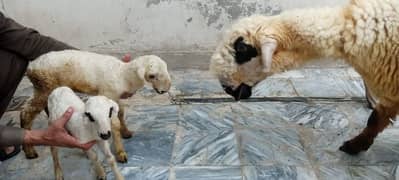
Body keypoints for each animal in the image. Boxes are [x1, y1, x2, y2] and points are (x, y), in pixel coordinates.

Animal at [21, 49, 172, 162]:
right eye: (152, 76)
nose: (165, 90)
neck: (123, 75)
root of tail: (31, 67)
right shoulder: (107, 94)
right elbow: (114, 123)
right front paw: (120, 153)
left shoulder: (115, 97)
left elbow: (120, 113)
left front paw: (126, 132)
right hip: (44, 86)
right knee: (26, 113)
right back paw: (29, 151)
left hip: (42, 88)